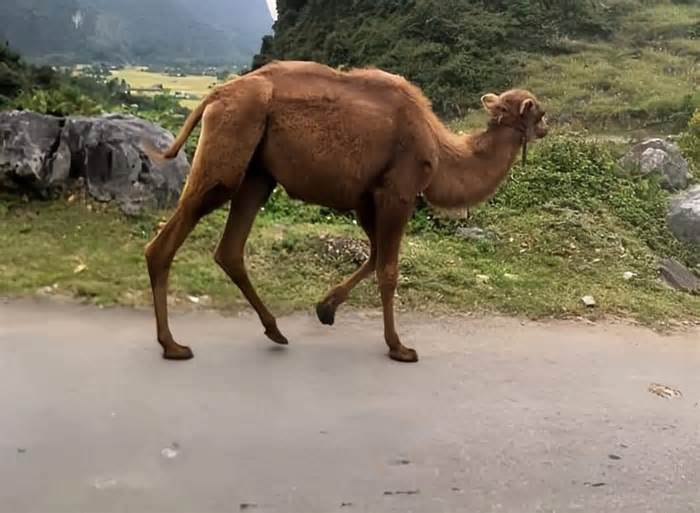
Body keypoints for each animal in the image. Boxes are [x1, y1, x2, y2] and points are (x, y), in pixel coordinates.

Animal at [142, 60, 548, 362]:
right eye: (539, 112)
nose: (547, 125)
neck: (440, 150)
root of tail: (214, 95)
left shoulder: (365, 197)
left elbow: (374, 255)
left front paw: (326, 308)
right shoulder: (397, 192)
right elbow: (388, 269)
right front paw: (398, 346)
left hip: (258, 172)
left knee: (230, 248)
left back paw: (274, 330)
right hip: (232, 142)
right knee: (169, 238)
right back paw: (172, 345)